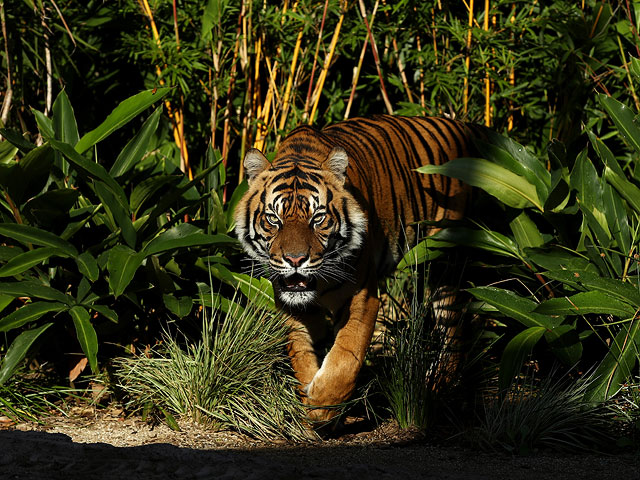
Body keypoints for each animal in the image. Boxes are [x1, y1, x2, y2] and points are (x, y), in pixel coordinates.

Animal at [234, 115, 476, 424]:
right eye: (273, 219)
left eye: (318, 218)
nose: (295, 259)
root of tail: (470, 128)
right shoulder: (291, 304)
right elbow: (301, 352)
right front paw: (309, 395)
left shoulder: (362, 296)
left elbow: (347, 354)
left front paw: (323, 405)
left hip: (443, 259)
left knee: (455, 330)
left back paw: (436, 387)